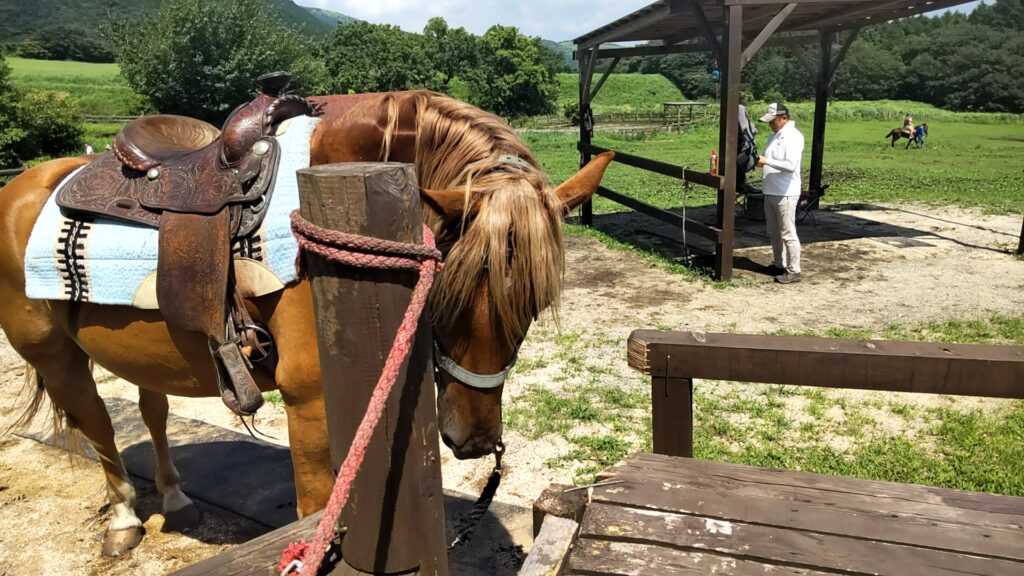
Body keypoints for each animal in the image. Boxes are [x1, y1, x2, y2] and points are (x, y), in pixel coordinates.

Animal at [0, 90, 613, 556]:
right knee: (98, 424)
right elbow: (317, 509)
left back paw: (175, 499)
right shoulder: (310, 403)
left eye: (533, 305)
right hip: (53, 354)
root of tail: (25, 183)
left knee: (151, 411)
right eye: (448, 291)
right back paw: (125, 520)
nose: (474, 440)